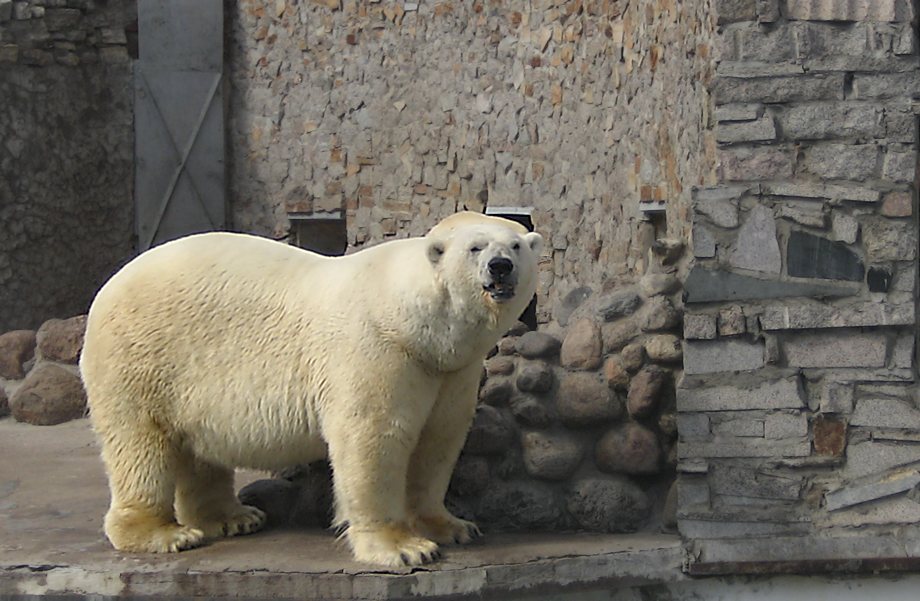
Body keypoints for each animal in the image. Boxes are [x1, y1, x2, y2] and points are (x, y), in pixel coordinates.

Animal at [80, 211, 543, 566]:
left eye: (516, 245)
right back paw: (165, 534)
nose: (501, 266)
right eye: (475, 248)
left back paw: (233, 517)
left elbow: (438, 442)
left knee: (199, 448)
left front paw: (452, 527)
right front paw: (402, 548)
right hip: (142, 356)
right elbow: (373, 437)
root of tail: (109, 285)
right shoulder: (379, 350)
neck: (411, 318)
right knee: (140, 445)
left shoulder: (450, 369)